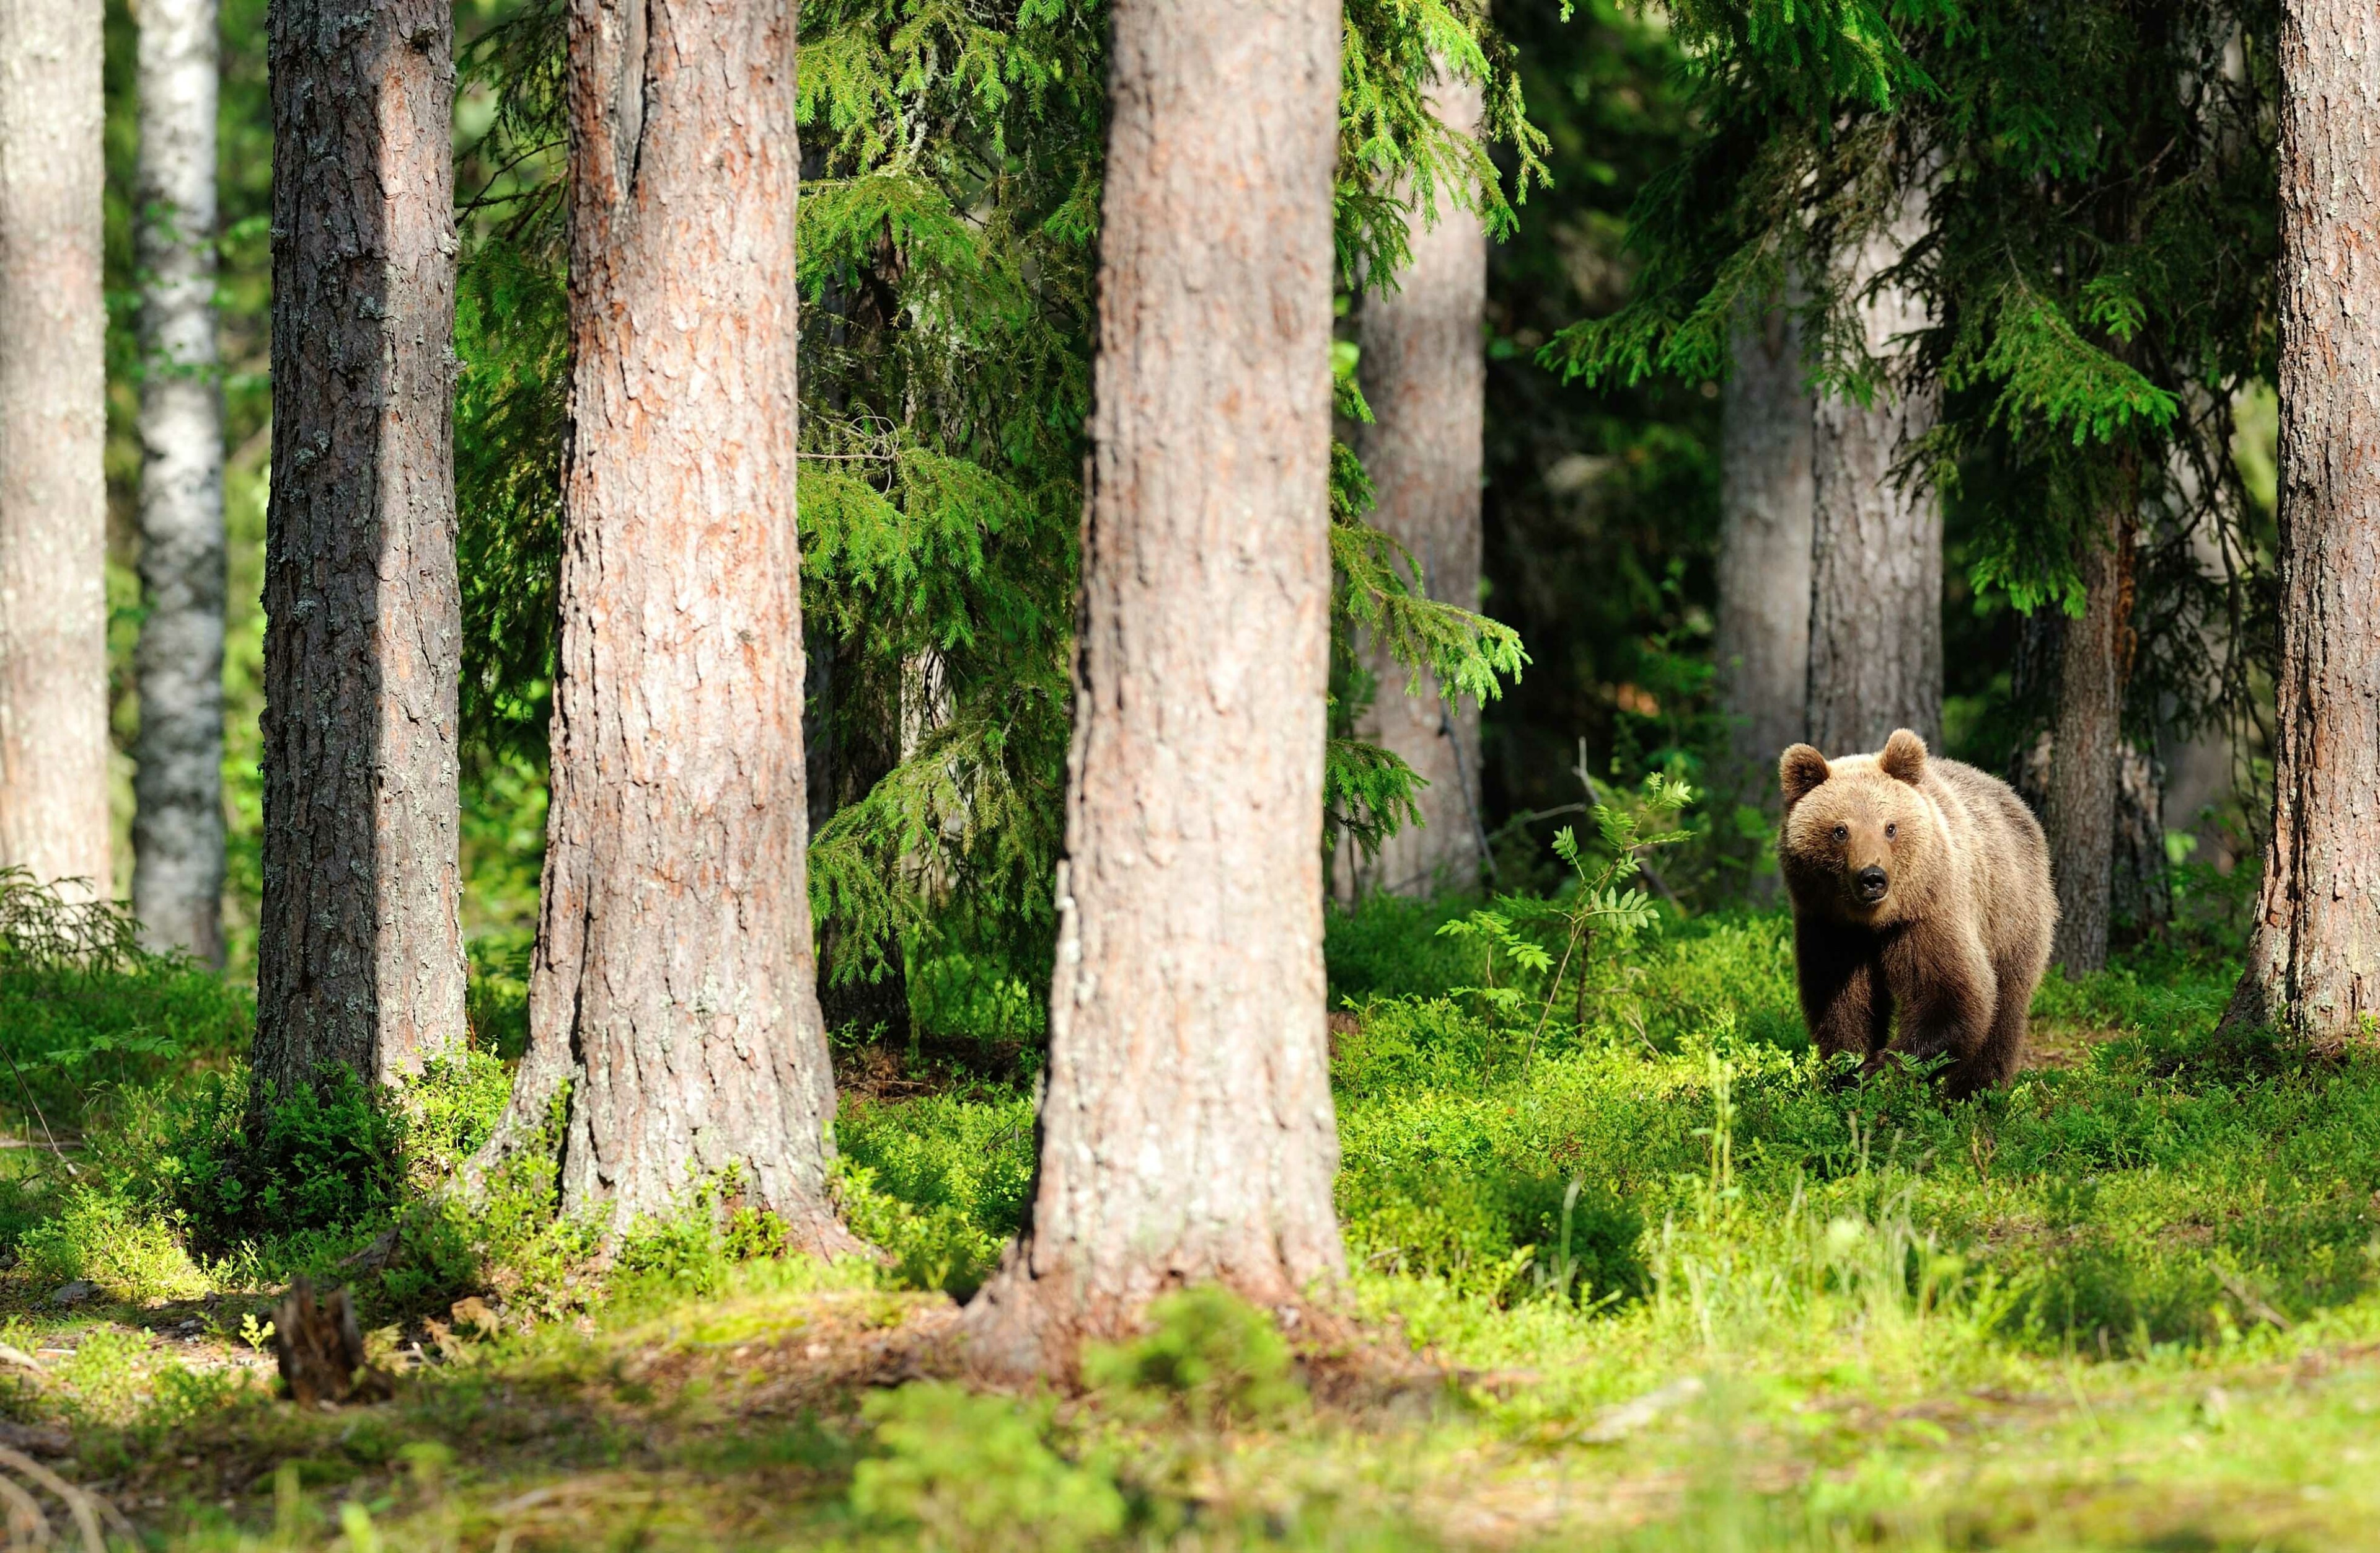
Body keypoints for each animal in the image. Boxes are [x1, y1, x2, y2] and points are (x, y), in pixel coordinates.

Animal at [1780, 733, 2056, 1095]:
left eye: (1890, 827)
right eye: (1840, 830)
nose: (1873, 877)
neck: (1873, 921)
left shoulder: (1927, 915)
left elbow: (1953, 996)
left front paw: (1878, 1070)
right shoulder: (1828, 926)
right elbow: (1840, 1003)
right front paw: (1847, 1072)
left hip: (2011, 914)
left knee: (2006, 1006)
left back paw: (1974, 1092)